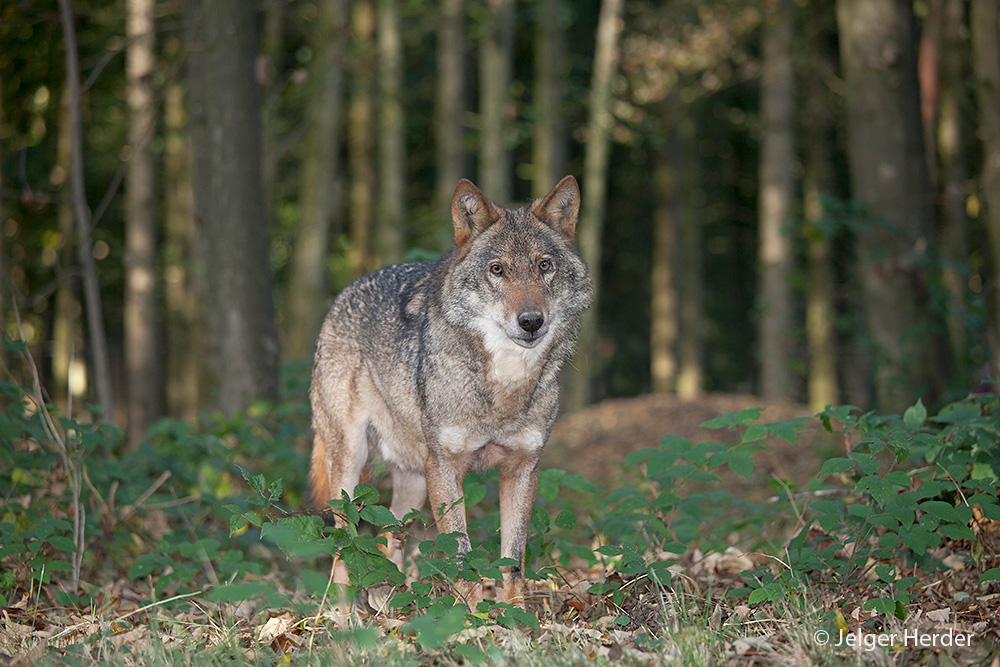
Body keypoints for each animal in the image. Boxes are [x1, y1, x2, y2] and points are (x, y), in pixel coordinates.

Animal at [312, 176, 588, 604]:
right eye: (497, 270)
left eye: (545, 266)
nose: (531, 322)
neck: (503, 388)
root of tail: (342, 295)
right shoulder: (445, 468)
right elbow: (462, 558)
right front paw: (472, 616)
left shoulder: (523, 469)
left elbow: (513, 561)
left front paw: (516, 615)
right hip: (352, 466)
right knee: (344, 546)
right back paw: (343, 615)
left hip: (413, 482)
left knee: (388, 539)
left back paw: (390, 602)